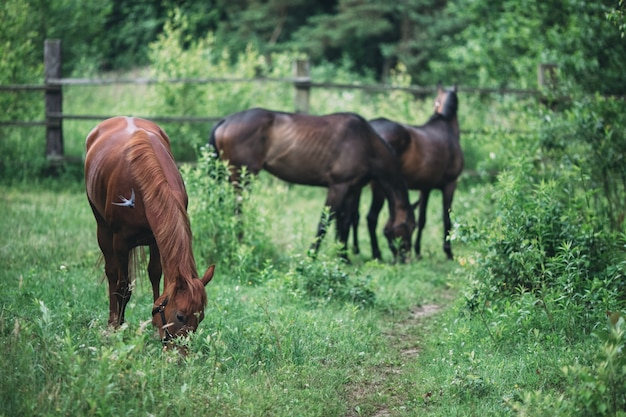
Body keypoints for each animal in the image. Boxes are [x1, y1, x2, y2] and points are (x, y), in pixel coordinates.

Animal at [84, 116, 214, 344]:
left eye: (200, 318)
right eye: (180, 316)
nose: (180, 350)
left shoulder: (157, 238)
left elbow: (155, 274)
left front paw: (154, 325)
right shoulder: (120, 241)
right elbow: (123, 286)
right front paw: (118, 328)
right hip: (102, 228)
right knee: (111, 273)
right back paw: (112, 321)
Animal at [208, 107, 414, 260]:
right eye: (408, 227)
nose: (405, 259)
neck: (366, 142)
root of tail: (225, 121)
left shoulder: (352, 189)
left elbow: (345, 223)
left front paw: (343, 258)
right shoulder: (338, 187)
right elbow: (325, 223)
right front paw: (312, 255)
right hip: (242, 178)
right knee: (237, 211)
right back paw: (240, 245)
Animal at [354, 84, 460, 258]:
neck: (446, 127)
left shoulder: (425, 188)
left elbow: (422, 219)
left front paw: (418, 251)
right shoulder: (450, 185)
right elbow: (447, 218)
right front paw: (448, 251)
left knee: (353, 216)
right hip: (379, 188)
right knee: (371, 218)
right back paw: (376, 254)